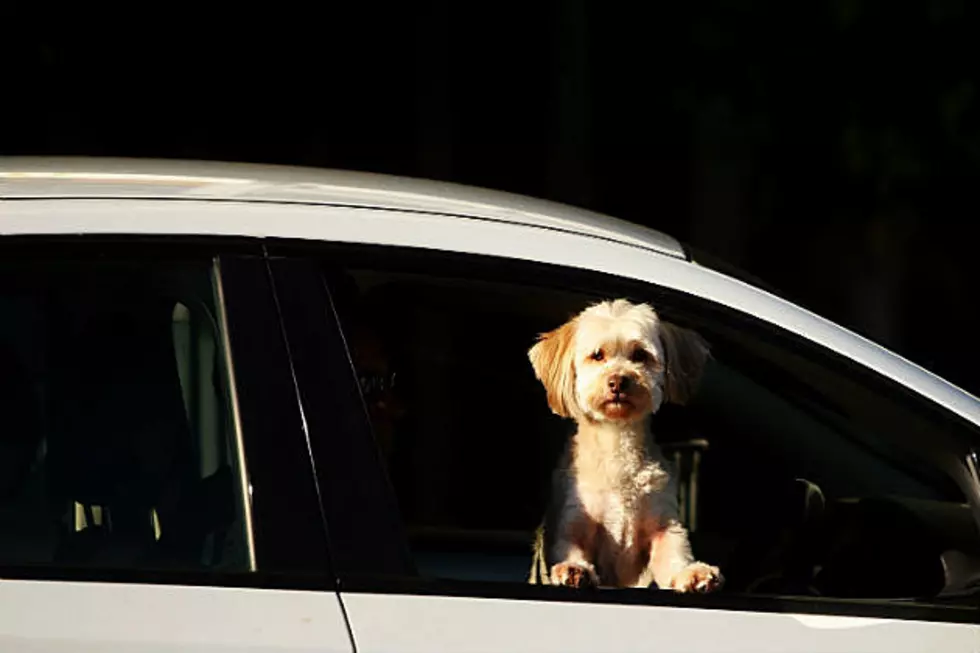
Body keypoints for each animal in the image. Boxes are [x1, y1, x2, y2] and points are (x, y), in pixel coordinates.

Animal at [528, 298, 720, 592]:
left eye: (640, 355)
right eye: (597, 355)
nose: (618, 381)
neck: (616, 440)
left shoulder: (662, 523)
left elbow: (673, 553)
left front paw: (692, 572)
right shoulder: (574, 516)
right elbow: (570, 545)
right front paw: (573, 569)